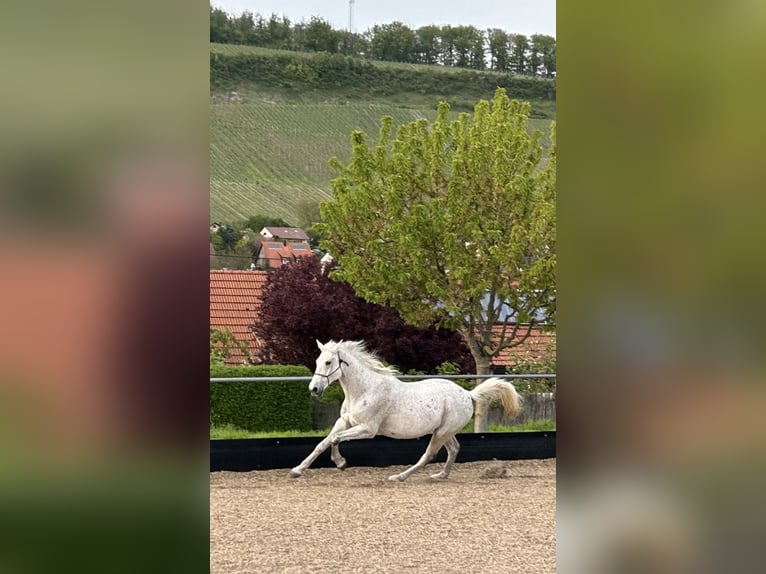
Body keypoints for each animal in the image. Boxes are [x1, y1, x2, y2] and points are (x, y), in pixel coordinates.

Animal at [292, 340, 524, 484]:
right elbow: (322, 443)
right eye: (317, 361)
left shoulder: (368, 429)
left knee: (428, 455)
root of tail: (468, 394)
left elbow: (334, 440)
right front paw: (296, 471)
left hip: (442, 432)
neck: (364, 389)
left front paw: (341, 463)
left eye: (328, 362)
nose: (314, 389)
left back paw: (399, 477)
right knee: (454, 449)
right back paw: (441, 476)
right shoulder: (344, 422)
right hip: (444, 431)